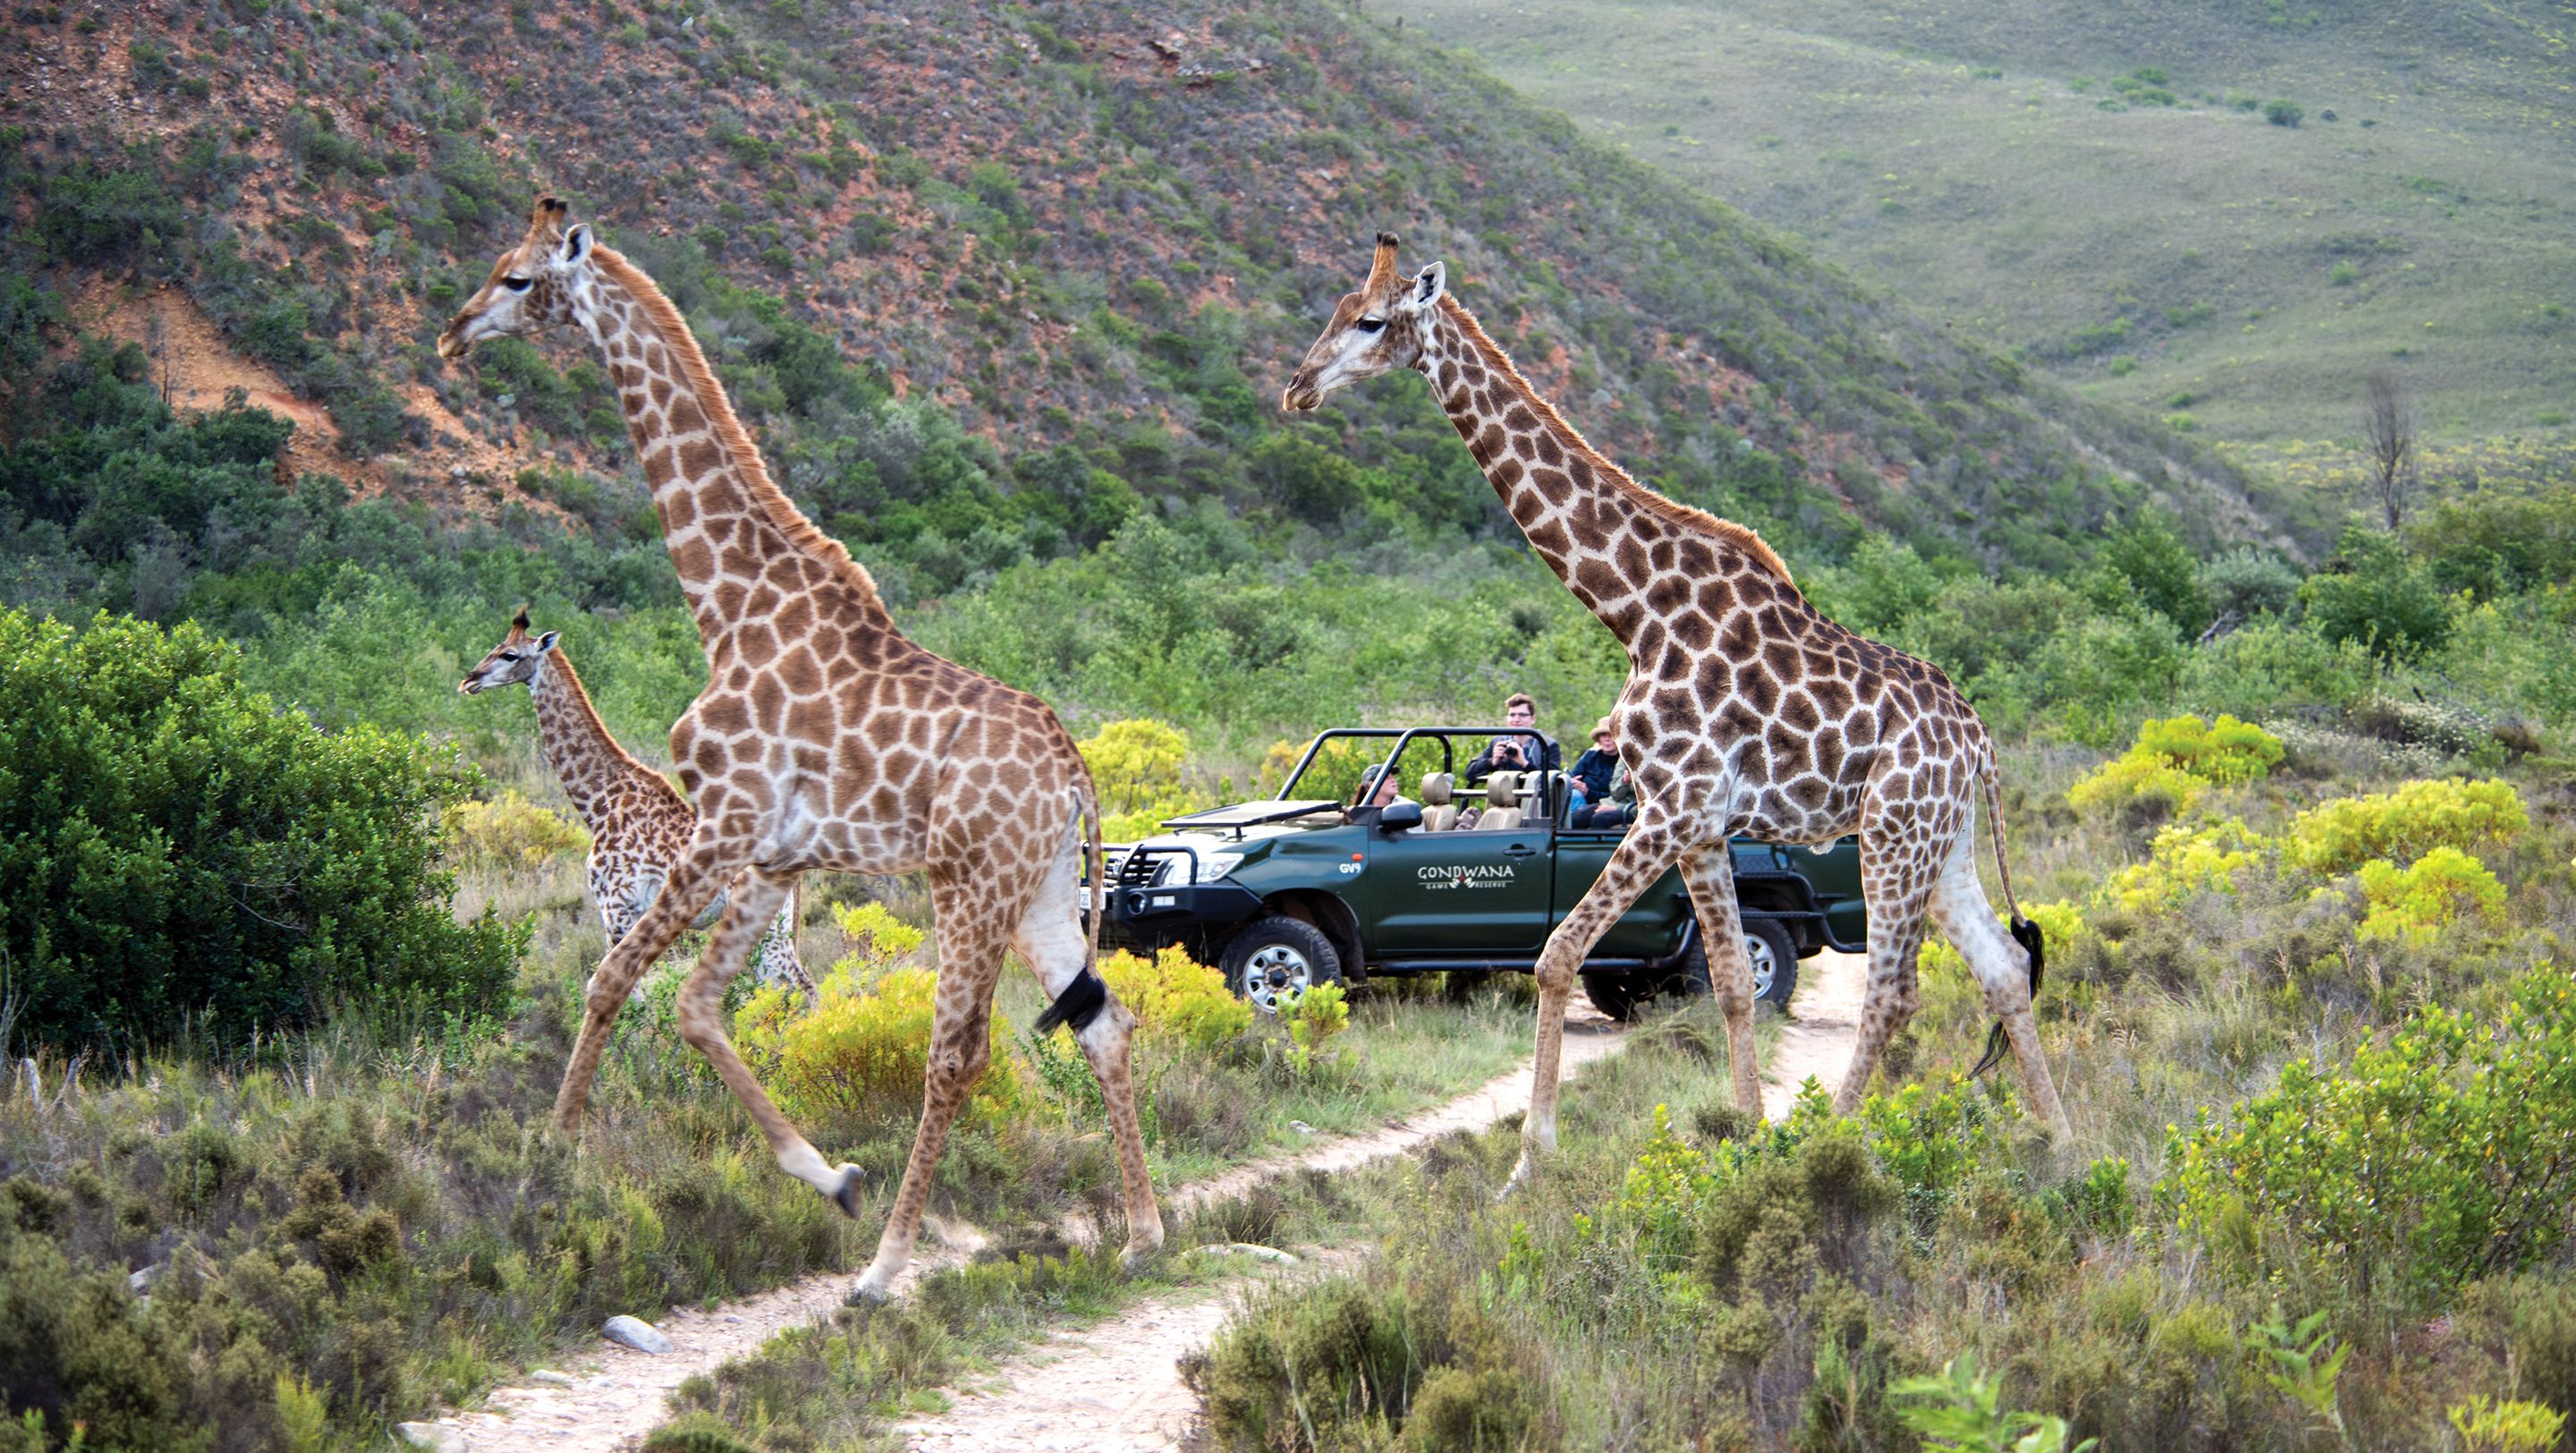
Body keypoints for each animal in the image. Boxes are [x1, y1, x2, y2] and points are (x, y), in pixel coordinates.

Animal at [458, 607, 809, 993]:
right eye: (495, 647)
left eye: (510, 655)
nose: (469, 681)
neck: (597, 803)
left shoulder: (616, 909)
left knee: (798, 986)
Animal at [1283, 235, 2074, 1184]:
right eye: (1332, 310)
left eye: (1370, 320)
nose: (1297, 387)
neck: (1635, 610)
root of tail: (1981, 741)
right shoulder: (1699, 823)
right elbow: (1731, 983)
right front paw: (1747, 1139)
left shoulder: (1672, 804)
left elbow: (1556, 955)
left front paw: (1529, 1164)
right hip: (1942, 842)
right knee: (2002, 967)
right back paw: (2070, 1150)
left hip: (1893, 832)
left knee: (1894, 990)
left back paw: (1835, 1143)